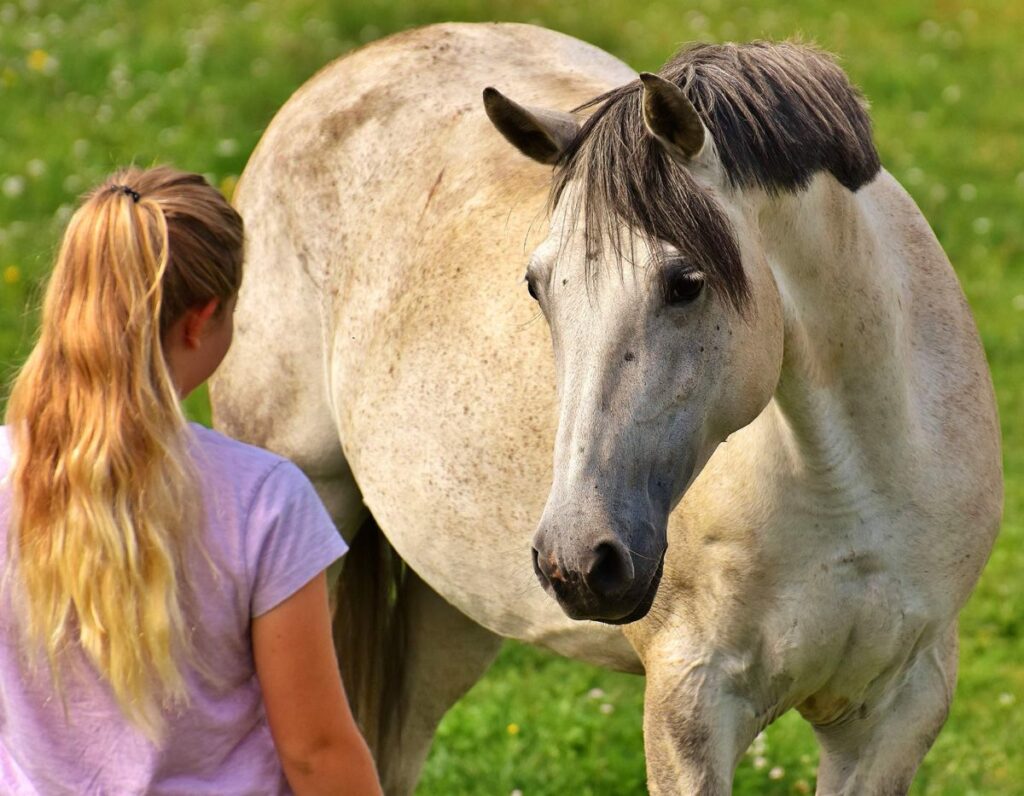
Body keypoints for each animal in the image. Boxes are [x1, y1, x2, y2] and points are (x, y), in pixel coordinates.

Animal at [211, 23, 1003, 794]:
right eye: (536, 286)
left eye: (686, 283)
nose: (578, 561)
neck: (849, 484)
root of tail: (350, 69)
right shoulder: (689, 705)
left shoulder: (897, 712)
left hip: (453, 608)